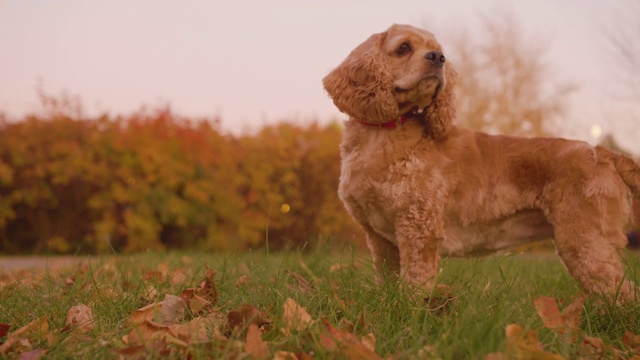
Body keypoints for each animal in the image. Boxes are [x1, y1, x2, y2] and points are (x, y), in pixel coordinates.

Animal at [322, 23, 640, 302]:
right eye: (403, 48)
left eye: (439, 51)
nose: (437, 58)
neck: (384, 135)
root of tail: (605, 154)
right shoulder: (381, 240)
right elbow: (388, 284)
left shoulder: (419, 229)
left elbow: (414, 284)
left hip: (586, 241)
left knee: (623, 295)